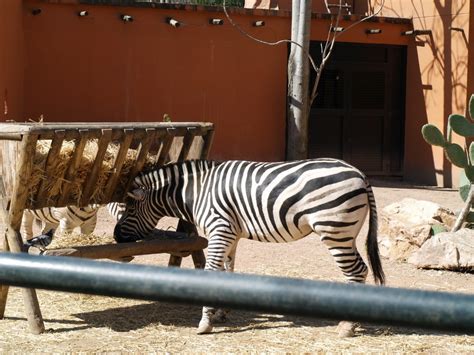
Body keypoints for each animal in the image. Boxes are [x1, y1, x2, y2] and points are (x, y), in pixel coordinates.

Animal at [114, 159, 386, 336]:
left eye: (129, 209)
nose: (117, 237)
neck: (197, 191)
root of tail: (359, 173)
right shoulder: (230, 233)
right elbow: (227, 271)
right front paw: (222, 312)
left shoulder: (219, 228)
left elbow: (212, 272)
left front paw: (205, 323)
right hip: (345, 232)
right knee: (359, 269)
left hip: (334, 230)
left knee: (356, 271)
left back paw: (347, 326)